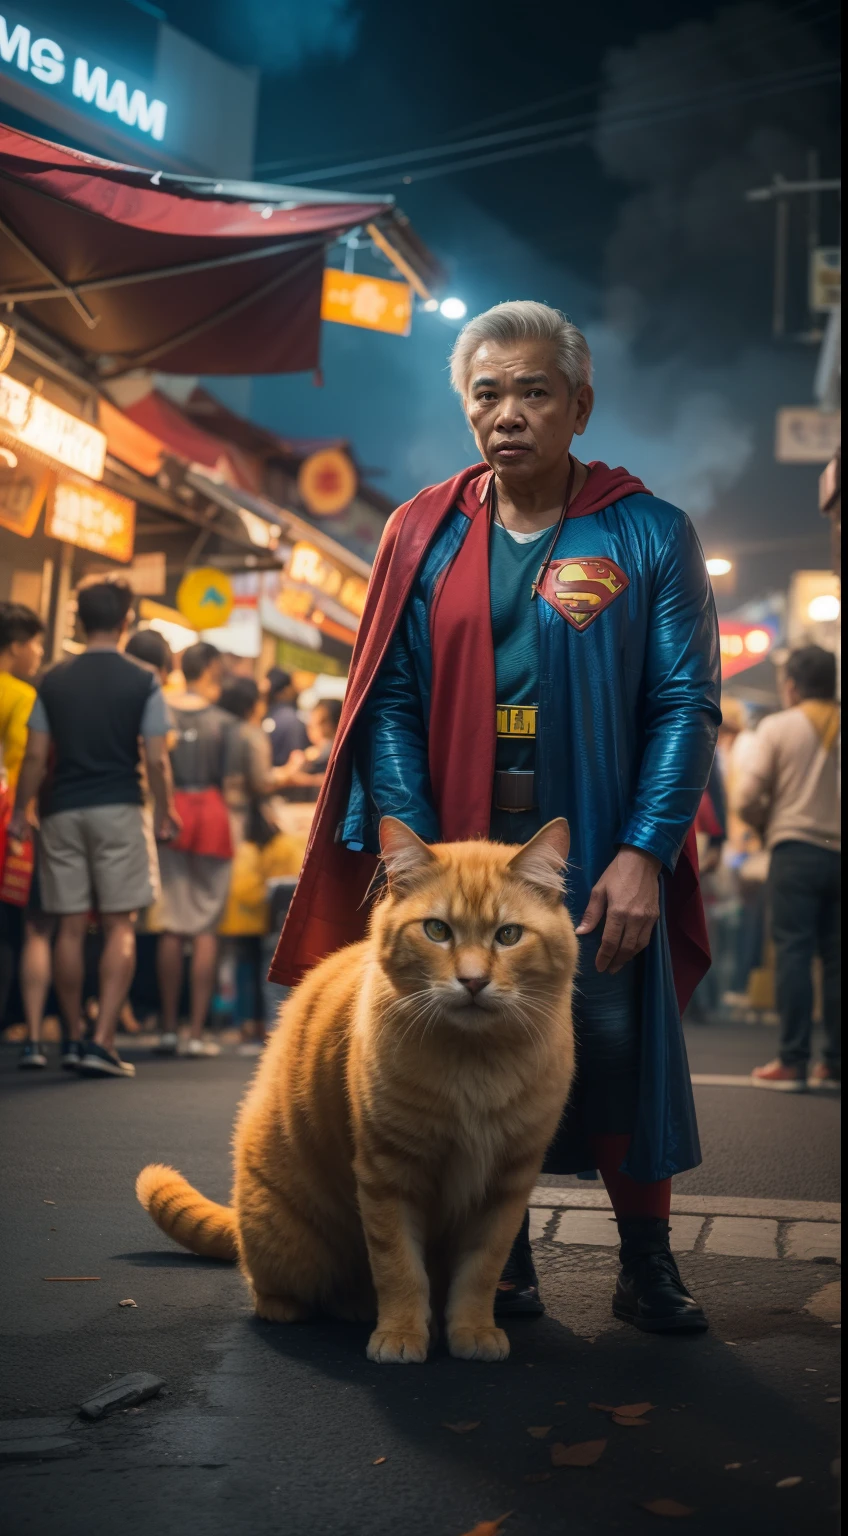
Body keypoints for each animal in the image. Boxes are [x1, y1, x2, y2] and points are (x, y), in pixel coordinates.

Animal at [137, 823, 577, 1363]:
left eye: (508, 935)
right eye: (437, 931)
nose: (472, 981)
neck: (473, 1065)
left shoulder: (507, 1184)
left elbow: (481, 1272)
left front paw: (472, 1330)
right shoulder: (388, 1172)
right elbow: (399, 1267)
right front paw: (401, 1334)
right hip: (285, 1241)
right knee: (274, 1287)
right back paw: (325, 1307)